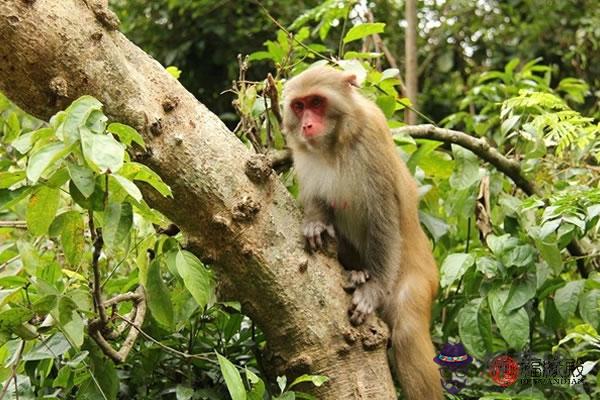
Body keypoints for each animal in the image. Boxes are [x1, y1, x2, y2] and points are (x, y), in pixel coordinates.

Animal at [282, 65, 440, 400]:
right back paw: (355, 272)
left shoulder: (372, 135)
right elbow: (318, 201)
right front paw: (315, 223)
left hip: (418, 277)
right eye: (299, 106)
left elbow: (384, 214)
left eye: (317, 102)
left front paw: (372, 289)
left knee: (407, 330)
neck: (333, 146)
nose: (307, 124)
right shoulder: (303, 153)